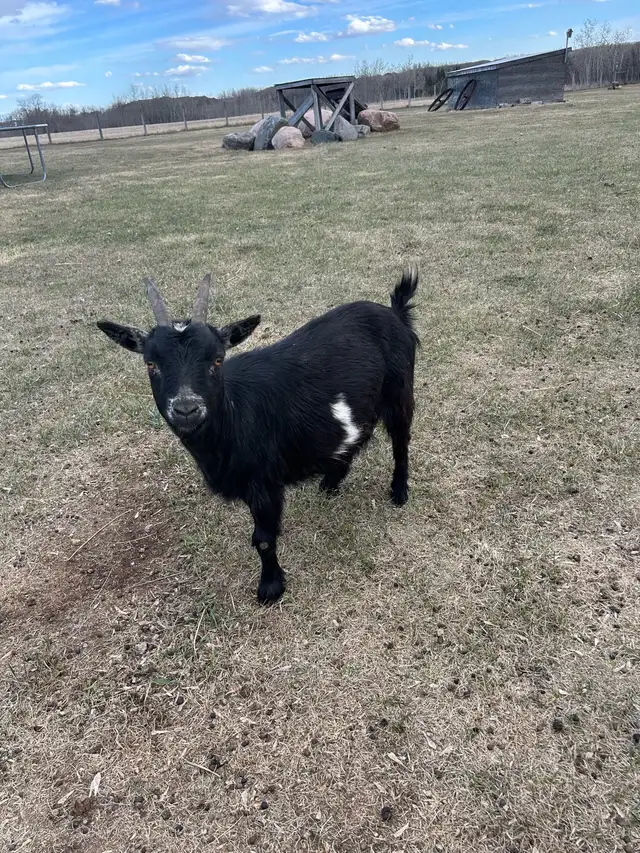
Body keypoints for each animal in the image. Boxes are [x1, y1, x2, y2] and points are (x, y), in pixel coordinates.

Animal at [97, 266, 419, 603]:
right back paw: (330, 483)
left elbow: (263, 539)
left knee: (401, 441)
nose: (186, 408)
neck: (232, 419)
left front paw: (270, 587)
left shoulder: (265, 481)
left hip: (399, 392)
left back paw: (398, 492)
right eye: (151, 363)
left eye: (217, 359)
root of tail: (396, 313)